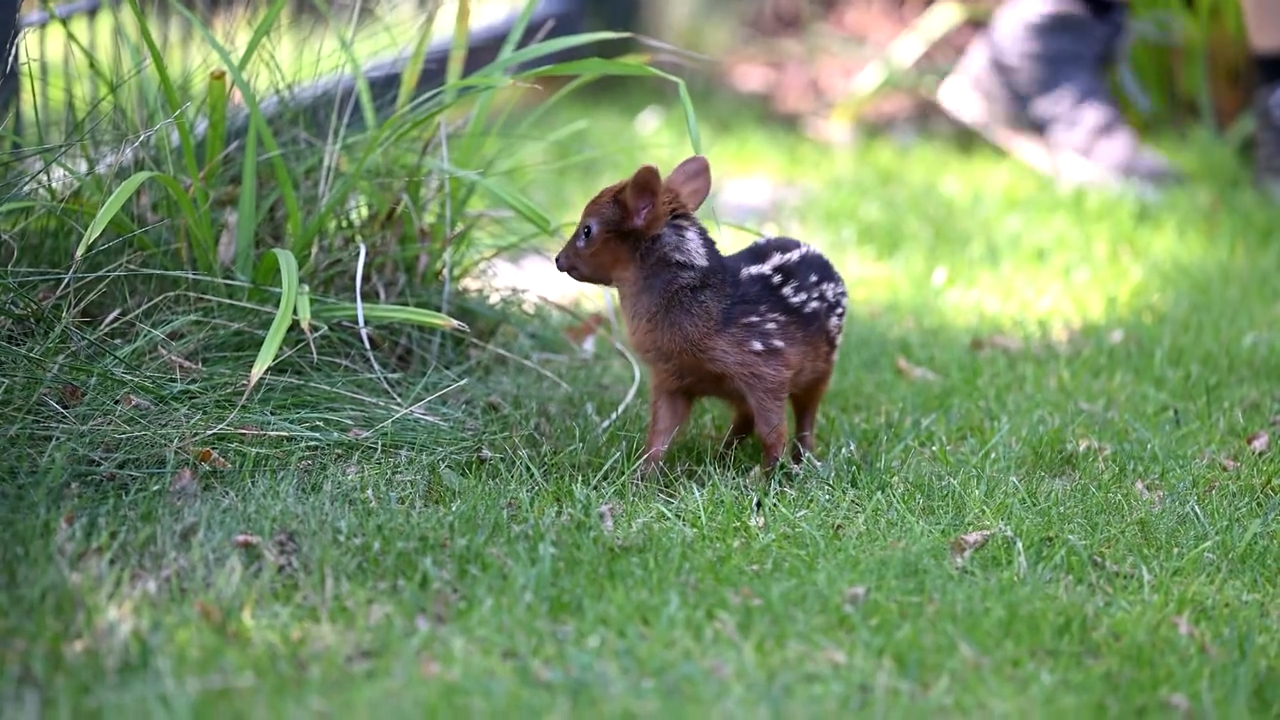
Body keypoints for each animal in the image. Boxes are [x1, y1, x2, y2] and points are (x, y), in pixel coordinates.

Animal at [552, 154, 844, 474]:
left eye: (587, 229)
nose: (558, 259)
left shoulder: (768, 368)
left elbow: (773, 434)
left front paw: (766, 478)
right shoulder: (669, 378)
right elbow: (658, 436)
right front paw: (641, 477)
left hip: (822, 367)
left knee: (805, 417)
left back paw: (801, 459)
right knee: (744, 419)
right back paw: (722, 456)